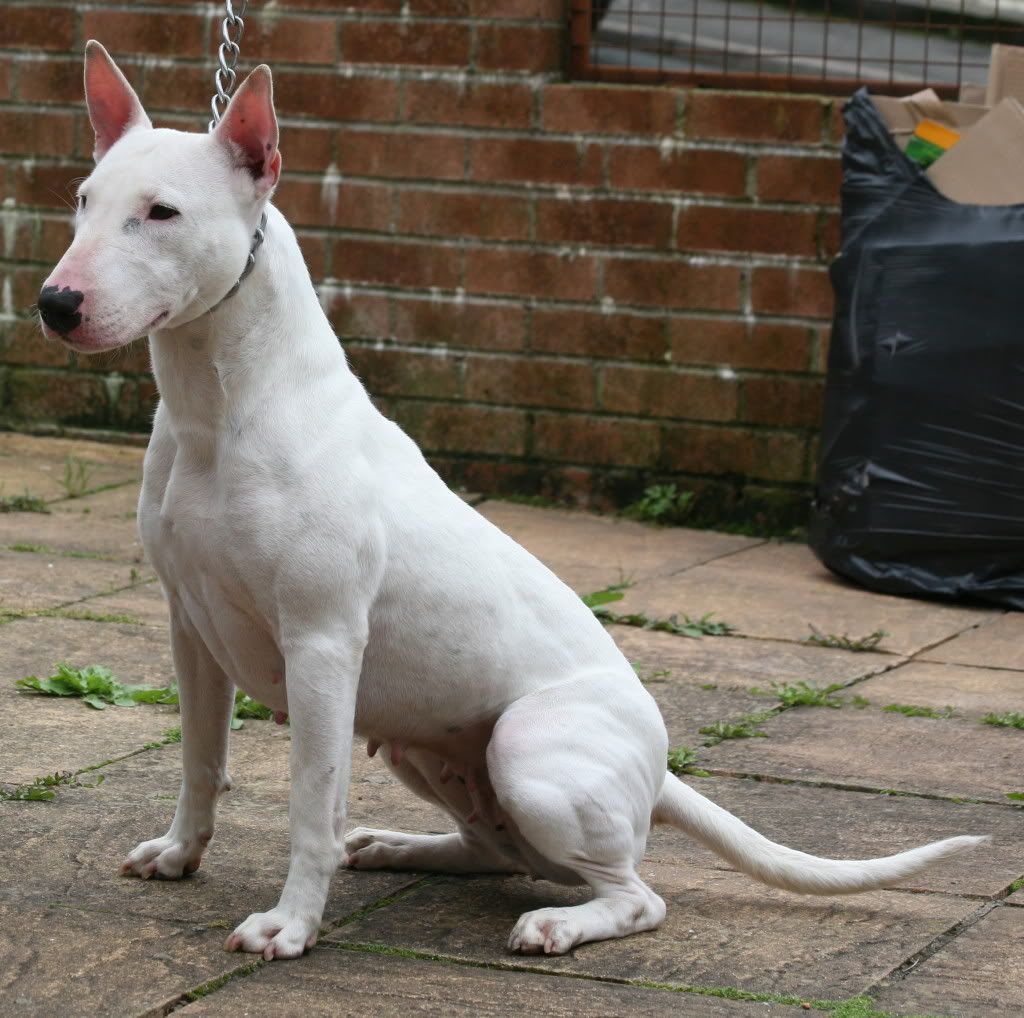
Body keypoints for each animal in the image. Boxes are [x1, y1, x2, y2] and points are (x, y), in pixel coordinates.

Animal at [37, 41, 983, 958]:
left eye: (163, 212)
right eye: (83, 200)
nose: (54, 303)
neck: (220, 405)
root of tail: (662, 765)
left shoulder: (322, 643)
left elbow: (311, 802)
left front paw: (292, 926)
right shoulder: (190, 627)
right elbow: (201, 759)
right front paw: (179, 854)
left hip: (528, 750)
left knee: (635, 895)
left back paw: (557, 926)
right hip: (430, 751)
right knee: (499, 851)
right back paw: (398, 847)